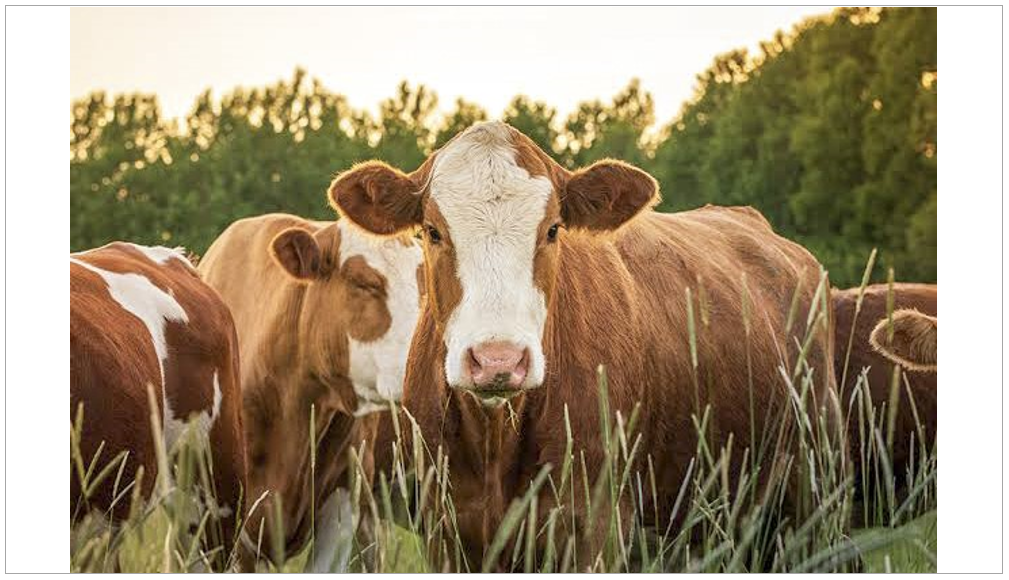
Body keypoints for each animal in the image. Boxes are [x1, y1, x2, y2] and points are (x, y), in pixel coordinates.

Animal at [327, 121, 838, 568]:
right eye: (432, 231)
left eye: (553, 229)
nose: (497, 360)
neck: (496, 440)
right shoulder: (445, 530)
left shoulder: (595, 527)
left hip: (809, 495)